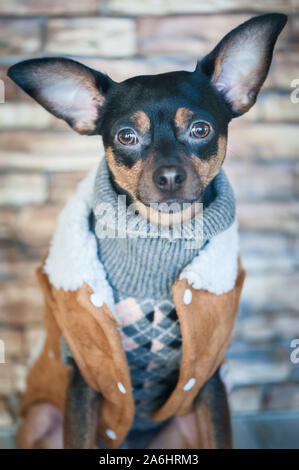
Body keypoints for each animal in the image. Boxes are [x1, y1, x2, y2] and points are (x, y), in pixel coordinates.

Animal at [8, 12, 288, 450]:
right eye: (127, 136)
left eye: (201, 129)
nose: (169, 175)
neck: (158, 240)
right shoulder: (87, 377)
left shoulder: (207, 380)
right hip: (40, 418)